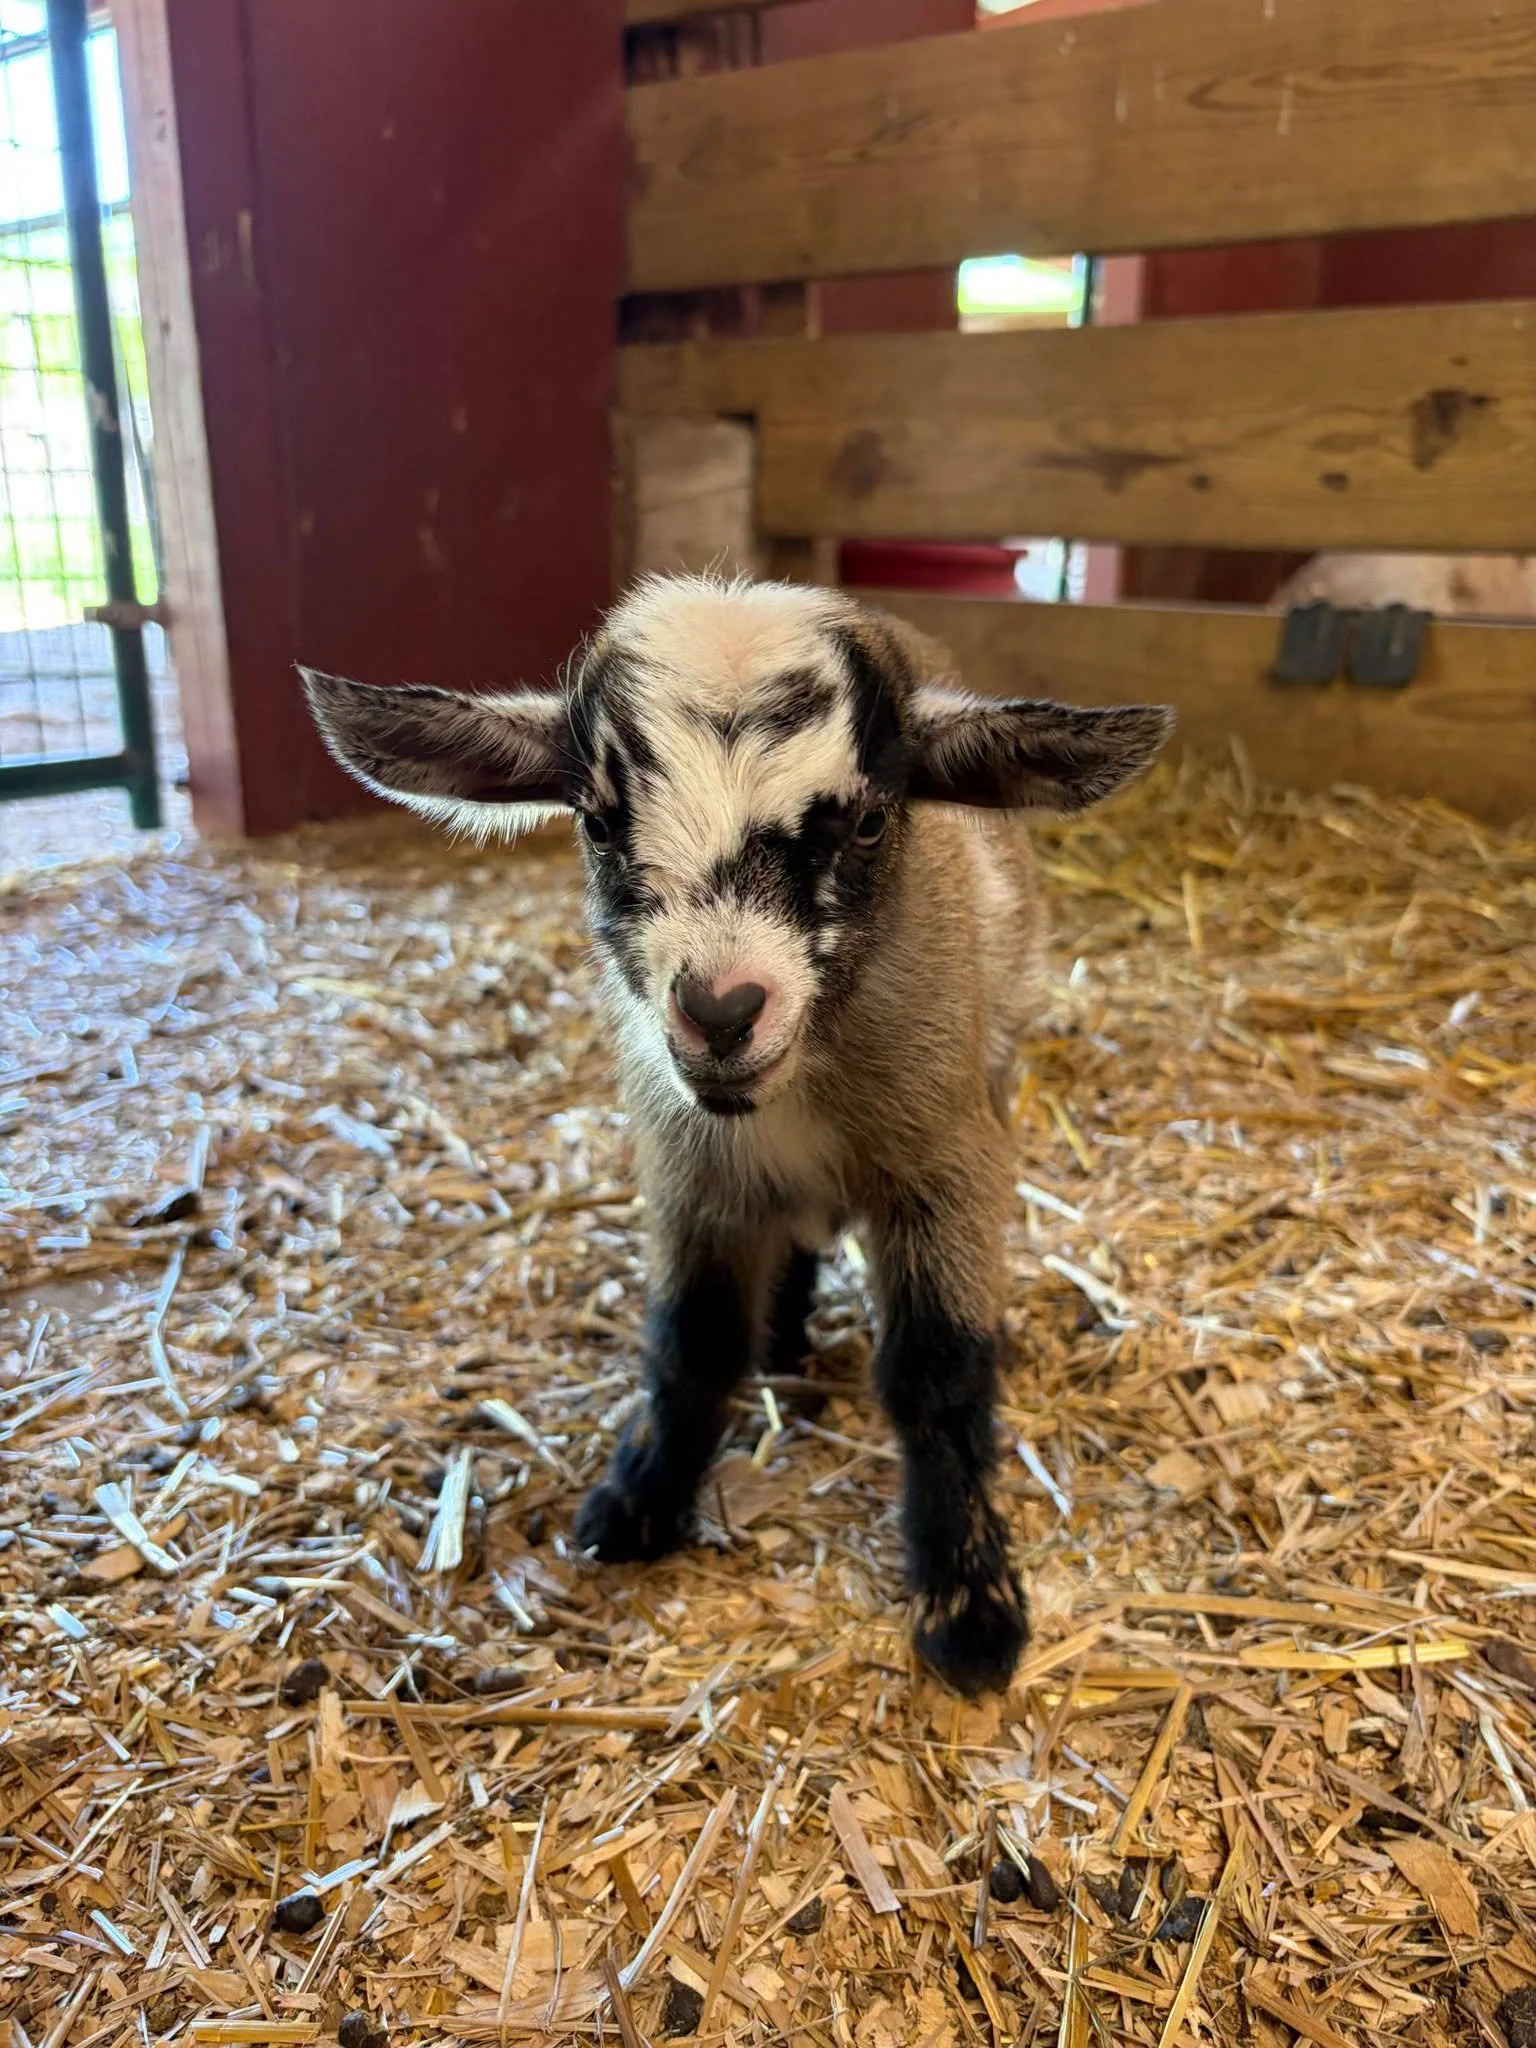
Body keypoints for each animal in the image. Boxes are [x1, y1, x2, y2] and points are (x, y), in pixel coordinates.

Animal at [302, 575, 1173, 1694]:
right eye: (598, 820)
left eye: (870, 821)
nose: (720, 1012)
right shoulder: (690, 1173)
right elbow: (692, 1344)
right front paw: (637, 1500)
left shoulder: (946, 1163)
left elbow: (937, 1372)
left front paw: (969, 1604)